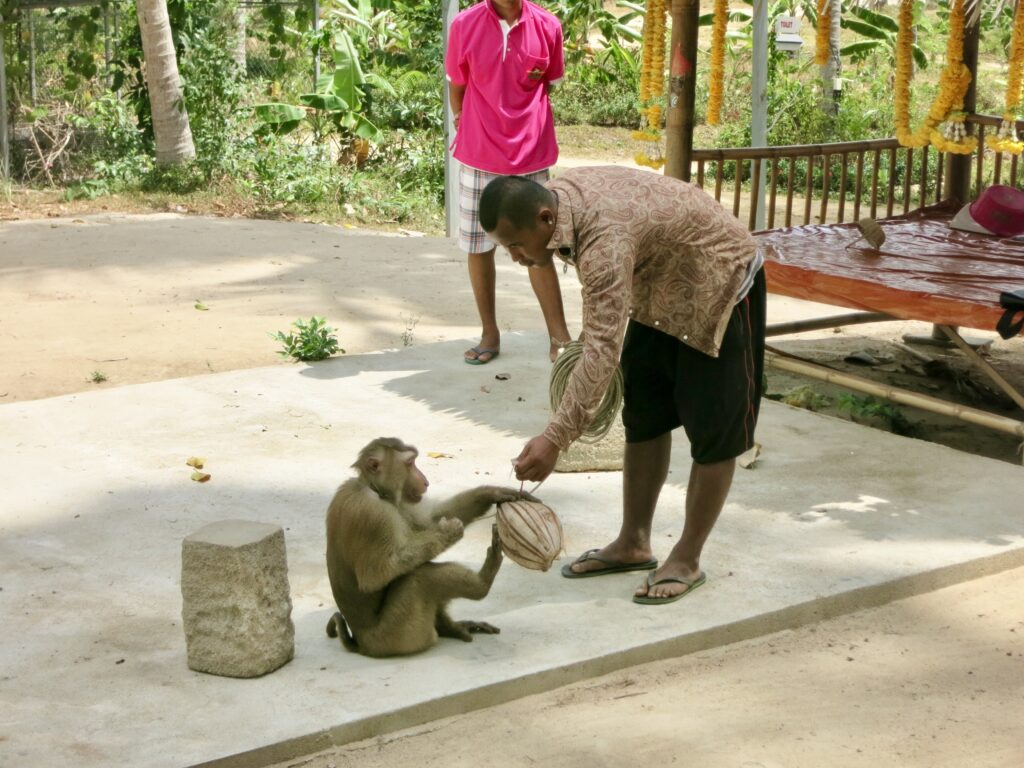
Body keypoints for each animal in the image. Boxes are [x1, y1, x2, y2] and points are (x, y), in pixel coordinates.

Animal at [325, 436, 536, 659]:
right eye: (410, 463)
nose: (425, 481)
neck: (375, 489)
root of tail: (362, 645)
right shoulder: (374, 513)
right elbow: (375, 575)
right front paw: (448, 532)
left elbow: (429, 520)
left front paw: (491, 493)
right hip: (397, 636)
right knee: (420, 578)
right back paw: (482, 584)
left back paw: (448, 627)